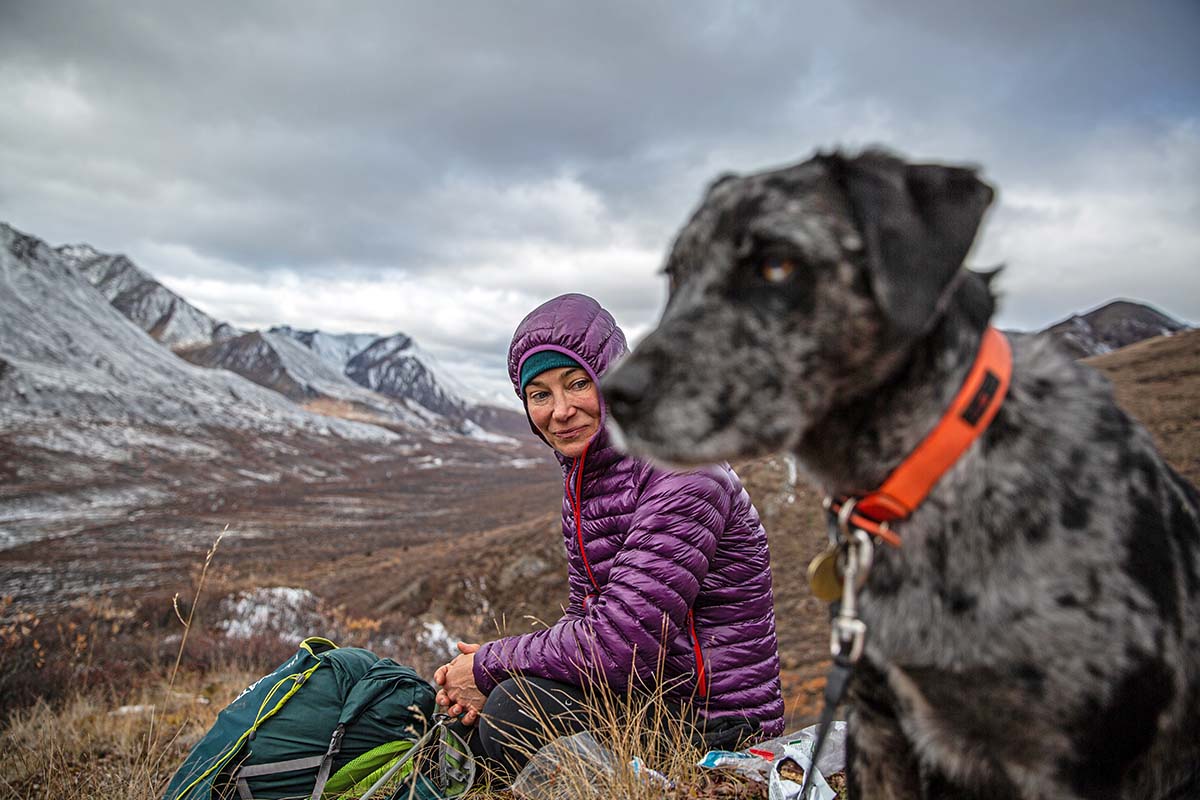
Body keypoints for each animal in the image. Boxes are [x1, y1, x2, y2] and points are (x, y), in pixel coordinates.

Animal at [604, 151, 1200, 800]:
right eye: (675, 275)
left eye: (777, 263)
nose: (614, 394)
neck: (930, 484)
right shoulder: (878, 721)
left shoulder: (1071, 765)